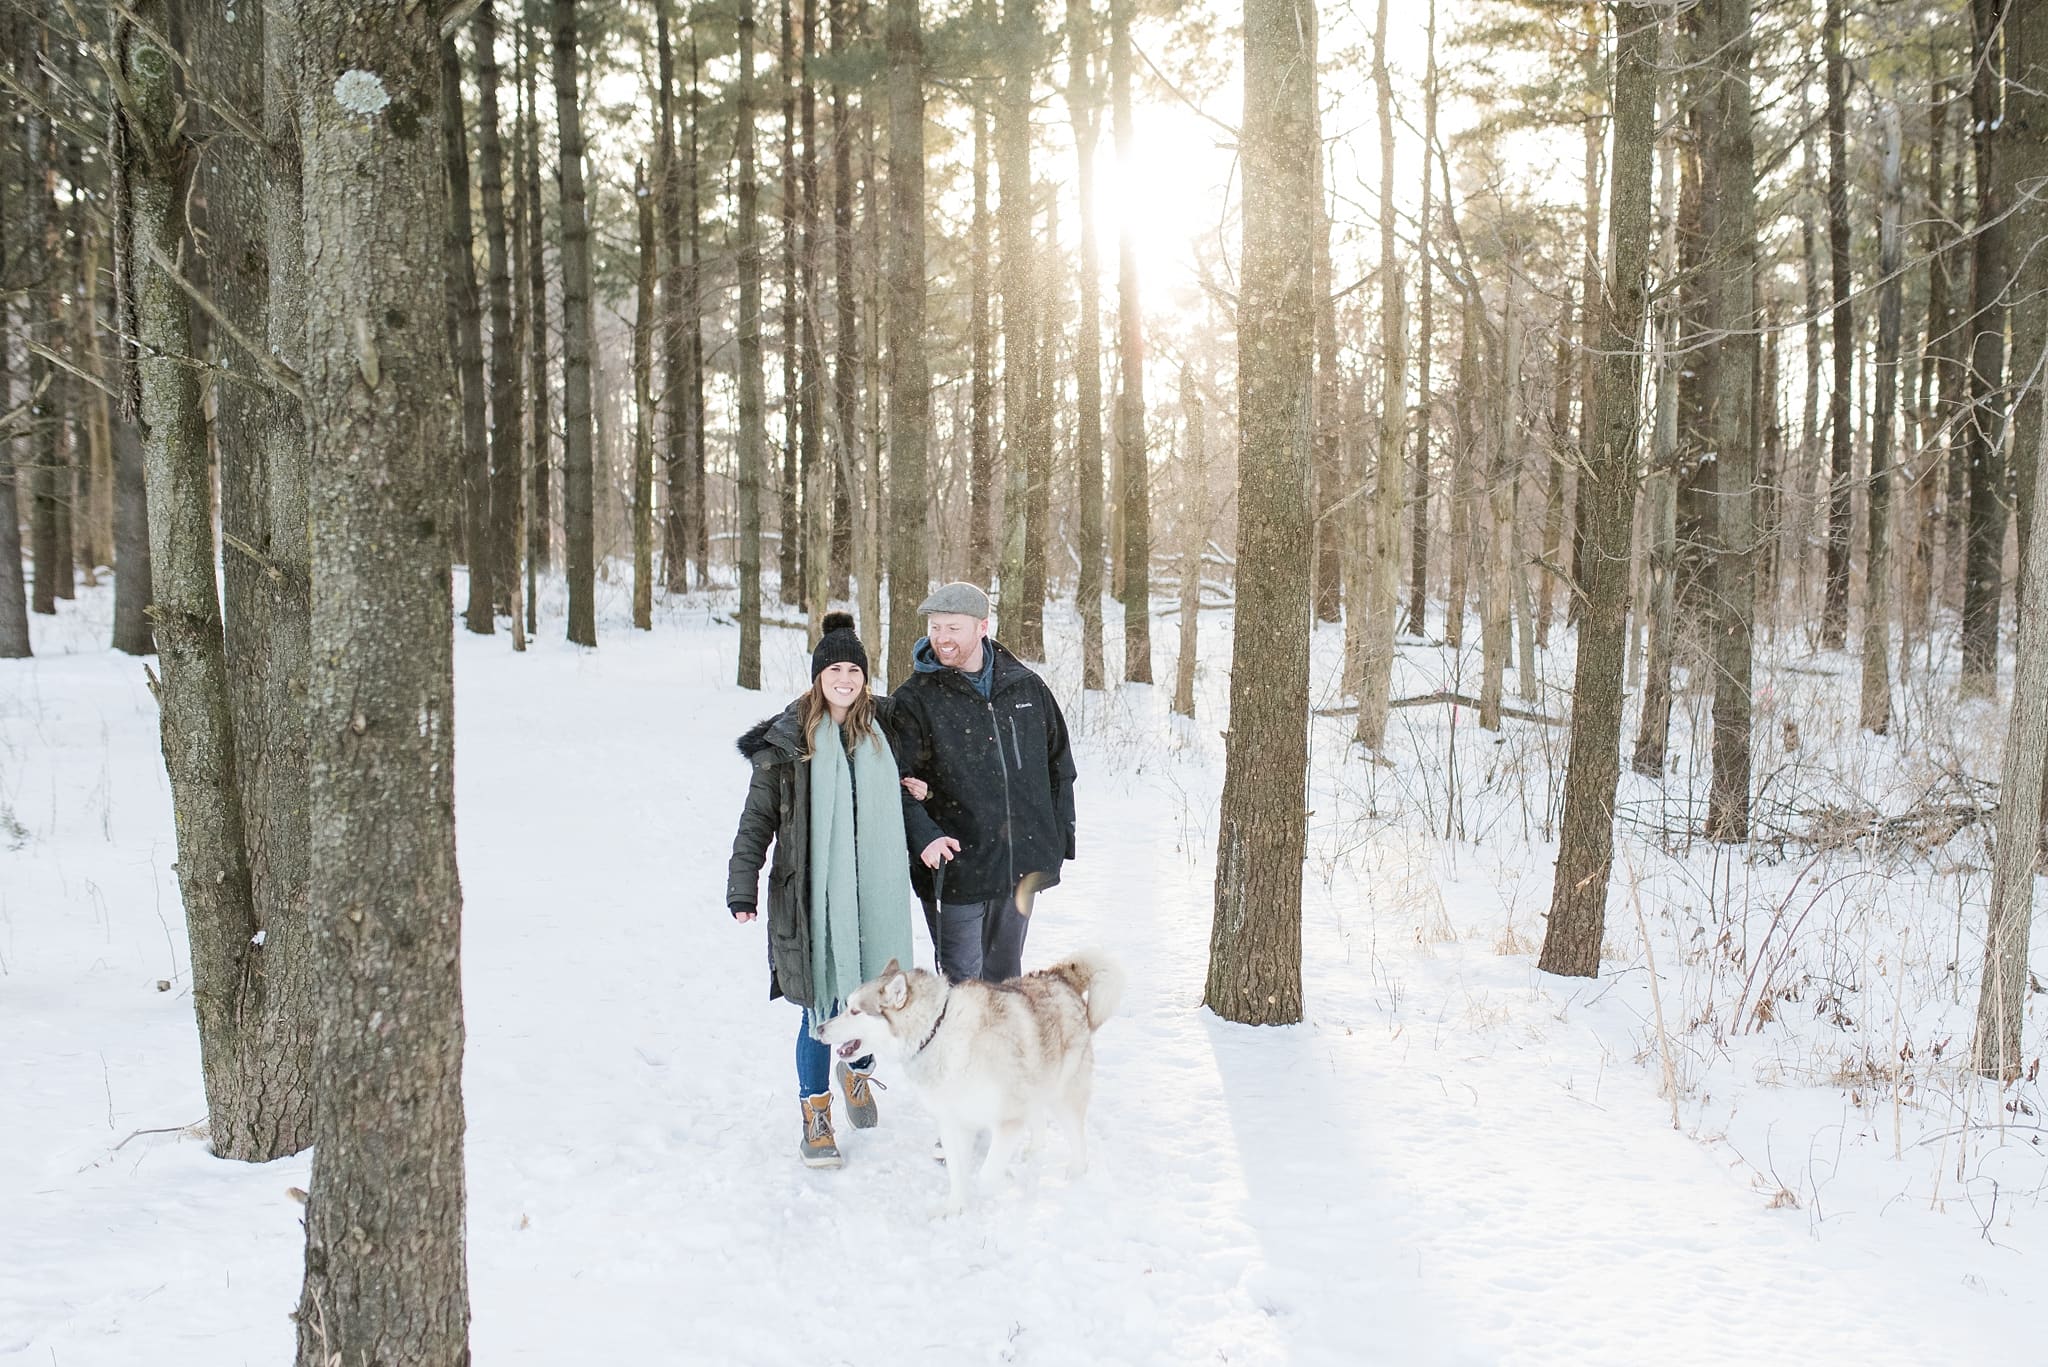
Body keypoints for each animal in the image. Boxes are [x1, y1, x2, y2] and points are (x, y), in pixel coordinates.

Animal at [819, 950, 1130, 1221]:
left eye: (855, 1011)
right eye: (846, 1006)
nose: (819, 1028)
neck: (936, 1031)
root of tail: (1057, 976)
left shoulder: (1007, 1118)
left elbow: (986, 1174)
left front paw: (1002, 1184)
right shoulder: (953, 1122)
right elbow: (958, 1173)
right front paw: (954, 1207)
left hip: (1063, 1094)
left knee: (1076, 1136)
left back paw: (1076, 1171)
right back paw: (1034, 1149)